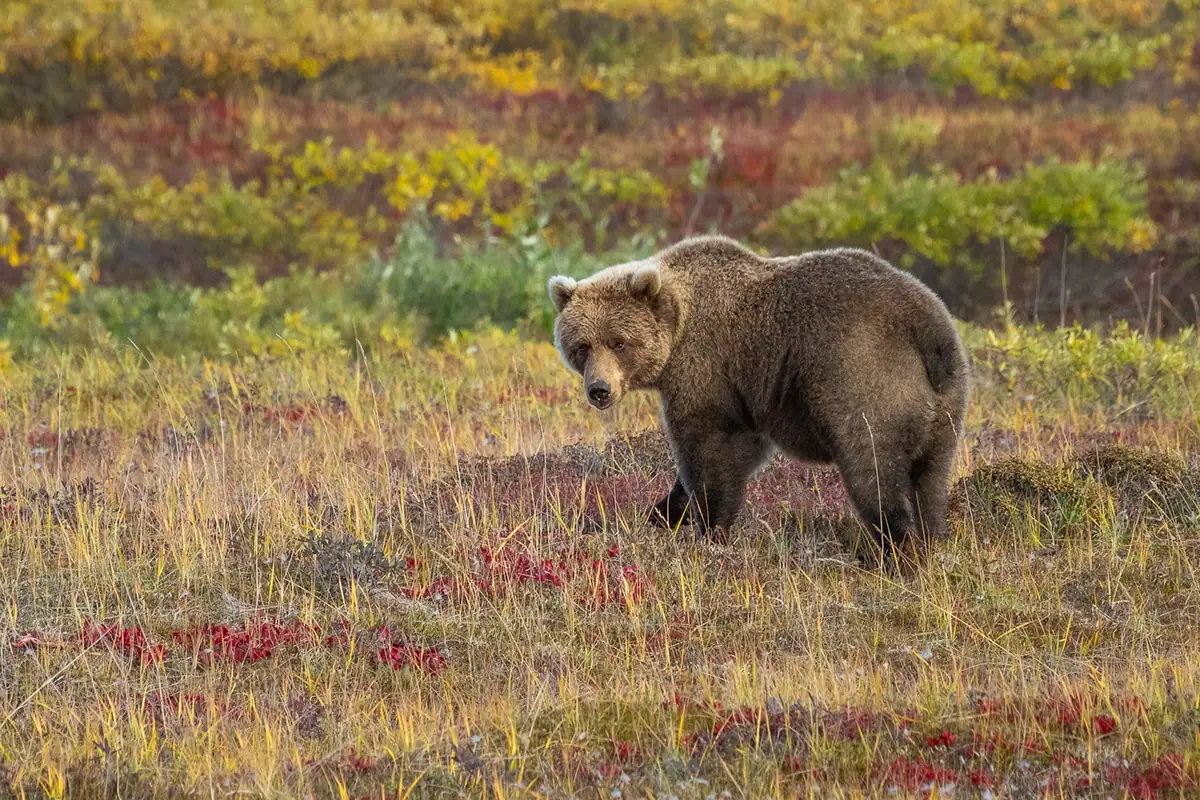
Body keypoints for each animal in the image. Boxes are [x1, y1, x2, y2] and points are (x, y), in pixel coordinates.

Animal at [547, 235, 969, 568]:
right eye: (582, 346)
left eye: (619, 342)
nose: (599, 389)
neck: (678, 327)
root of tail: (929, 327)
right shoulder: (747, 396)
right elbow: (737, 453)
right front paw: (662, 513)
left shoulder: (706, 369)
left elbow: (710, 451)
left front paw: (709, 530)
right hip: (945, 406)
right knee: (930, 479)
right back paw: (933, 540)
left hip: (865, 375)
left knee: (874, 468)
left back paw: (898, 552)